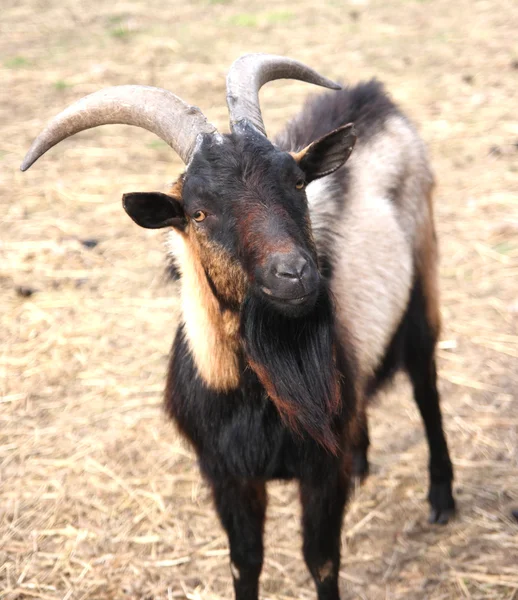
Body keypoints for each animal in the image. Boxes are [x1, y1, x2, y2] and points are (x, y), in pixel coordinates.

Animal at [22, 54, 458, 596]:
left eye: (297, 183)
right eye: (198, 212)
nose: (294, 273)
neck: (257, 389)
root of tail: (371, 95)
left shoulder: (319, 471)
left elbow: (322, 561)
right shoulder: (226, 475)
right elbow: (245, 562)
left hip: (423, 279)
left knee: (426, 386)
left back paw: (442, 498)